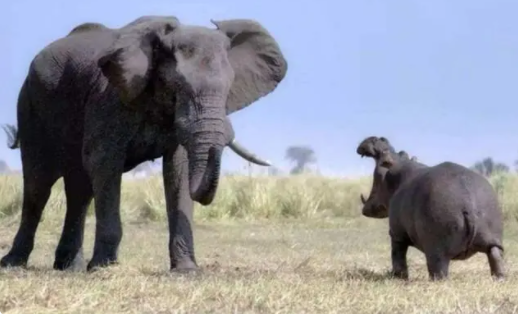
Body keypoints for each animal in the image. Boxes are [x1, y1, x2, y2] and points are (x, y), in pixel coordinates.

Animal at [0, 14, 288, 272]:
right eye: (178, 86)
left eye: (229, 88)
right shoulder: (109, 98)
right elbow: (103, 162)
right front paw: (103, 268)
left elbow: (179, 170)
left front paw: (187, 270)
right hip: (30, 106)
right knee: (38, 185)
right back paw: (14, 264)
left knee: (79, 189)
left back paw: (69, 268)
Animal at [360, 136, 506, 280]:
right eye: (402, 153)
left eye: (384, 157)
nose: (378, 138)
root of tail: (468, 201)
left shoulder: (396, 234)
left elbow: (397, 255)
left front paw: (399, 278)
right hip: (492, 238)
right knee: (495, 256)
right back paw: (499, 279)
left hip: (436, 250)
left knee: (438, 270)